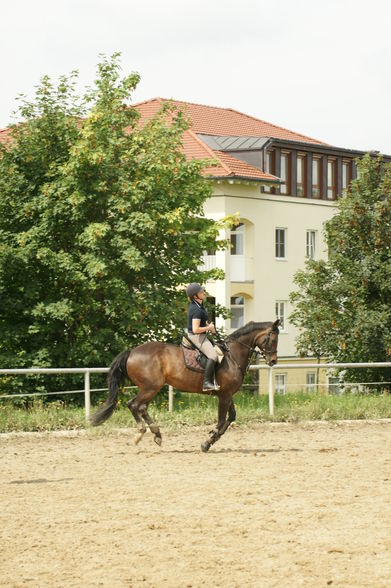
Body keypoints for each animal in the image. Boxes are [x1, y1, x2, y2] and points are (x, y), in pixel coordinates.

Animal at [91, 320, 282, 452]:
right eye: (272, 340)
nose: (273, 361)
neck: (232, 355)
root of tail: (131, 352)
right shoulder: (224, 395)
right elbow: (221, 421)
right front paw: (206, 443)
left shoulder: (226, 394)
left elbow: (231, 418)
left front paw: (212, 439)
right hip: (150, 387)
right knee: (133, 405)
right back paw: (141, 432)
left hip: (150, 388)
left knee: (141, 407)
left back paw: (157, 434)